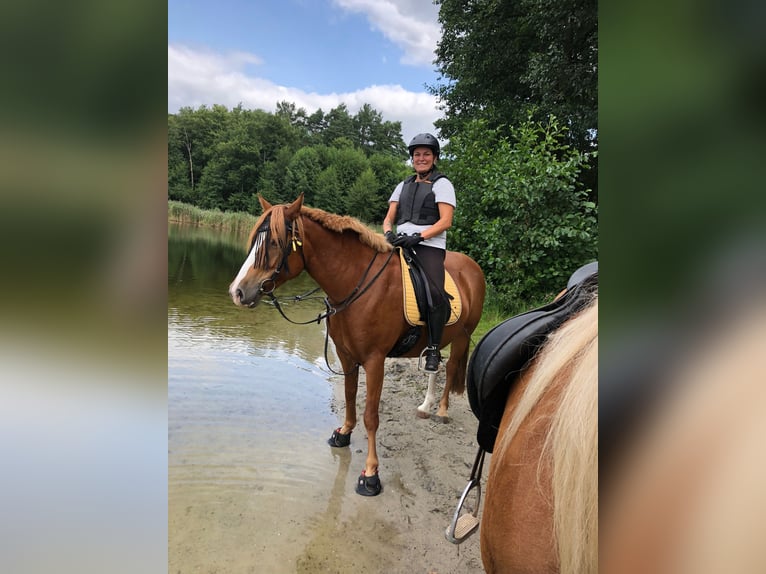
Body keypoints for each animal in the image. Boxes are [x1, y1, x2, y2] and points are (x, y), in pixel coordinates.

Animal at [228, 196, 488, 498]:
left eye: (273, 242)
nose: (237, 291)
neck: (355, 283)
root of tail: (472, 267)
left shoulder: (375, 361)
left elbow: (371, 415)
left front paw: (371, 474)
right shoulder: (346, 355)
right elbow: (351, 396)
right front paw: (343, 433)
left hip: (462, 337)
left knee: (451, 367)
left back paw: (442, 410)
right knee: (435, 366)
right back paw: (425, 406)